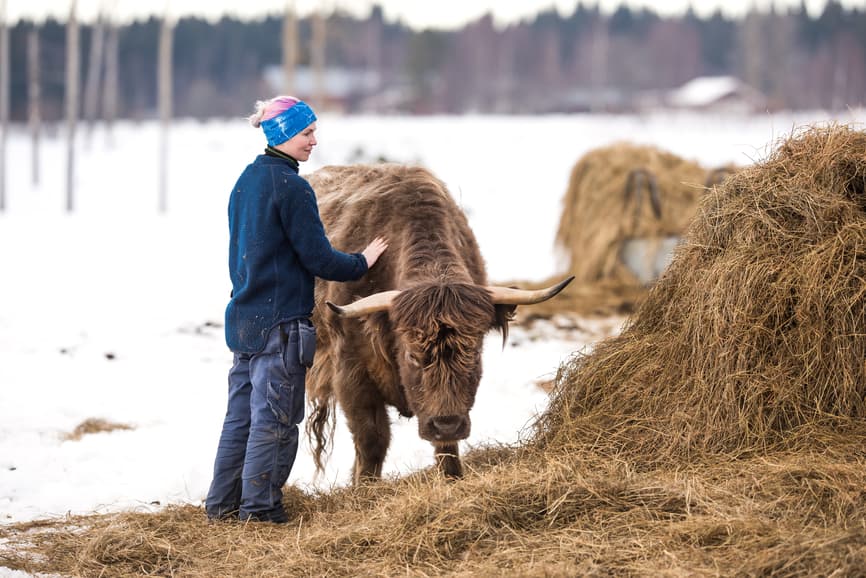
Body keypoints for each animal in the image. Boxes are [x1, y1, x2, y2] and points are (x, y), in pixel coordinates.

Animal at [306, 164, 572, 480]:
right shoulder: (350, 371)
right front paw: (364, 488)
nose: (446, 424)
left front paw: (452, 477)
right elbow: (372, 439)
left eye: (474, 353)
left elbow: (446, 448)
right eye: (412, 355)